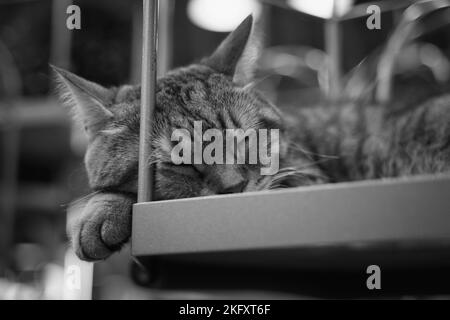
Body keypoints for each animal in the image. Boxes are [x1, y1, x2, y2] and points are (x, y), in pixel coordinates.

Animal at [53, 15, 450, 262]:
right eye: (178, 164)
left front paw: (101, 211)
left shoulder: (306, 182)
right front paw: (101, 207)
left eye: (243, 139)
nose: (234, 189)